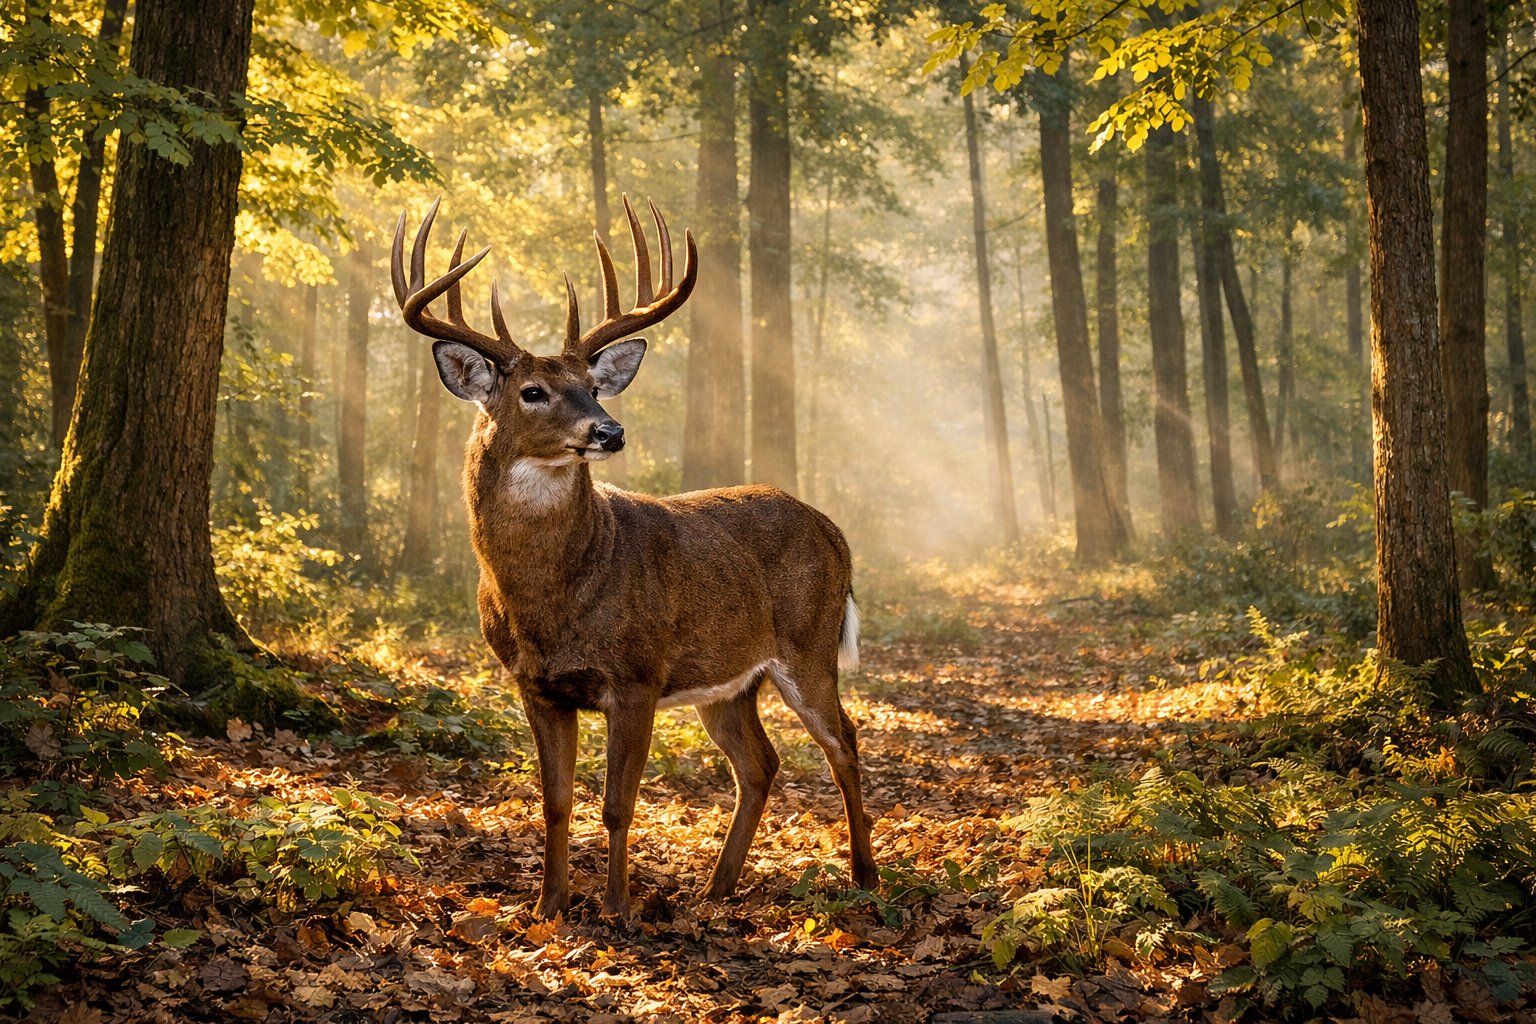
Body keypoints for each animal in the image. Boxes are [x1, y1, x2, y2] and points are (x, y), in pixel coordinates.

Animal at [390, 196, 877, 920]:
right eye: (532, 391)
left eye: (594, 385)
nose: (610, 430)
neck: (552, 598)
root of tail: (832, 527)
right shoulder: (535, 684)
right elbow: (557, 802)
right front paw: (549, 907)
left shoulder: (638, 674)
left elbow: (618, 805)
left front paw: (617, 907)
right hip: (729, 678)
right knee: (760, 762)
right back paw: (715, 888)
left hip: (809, 645)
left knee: (844, 742)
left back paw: (864, 877)